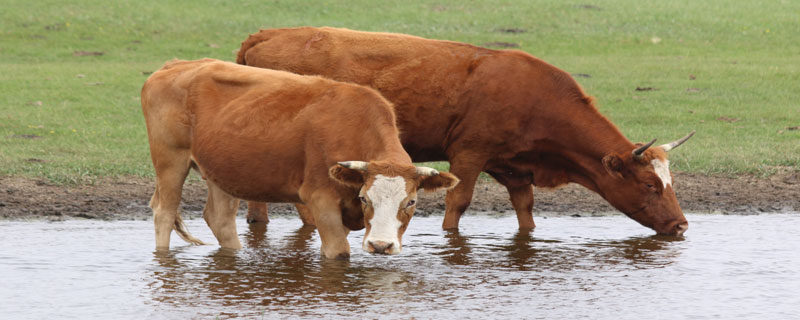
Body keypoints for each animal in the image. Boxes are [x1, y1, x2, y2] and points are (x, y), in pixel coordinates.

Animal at [141, 57, 460, 258]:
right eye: (365, 198)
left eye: (411, 202)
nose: (381, 245)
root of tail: (174, 66)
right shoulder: (321, 200)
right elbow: (338, 253)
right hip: (170, 160)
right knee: (164, 213)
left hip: (221, 170)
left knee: (220, 218)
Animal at [238, 27, 692, 236]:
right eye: (650, 186)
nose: (682, 226)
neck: (536, 98)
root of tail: (267, 33)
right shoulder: (469, 154)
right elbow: (458, 202)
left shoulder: (513, 167)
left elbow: (526, 210)